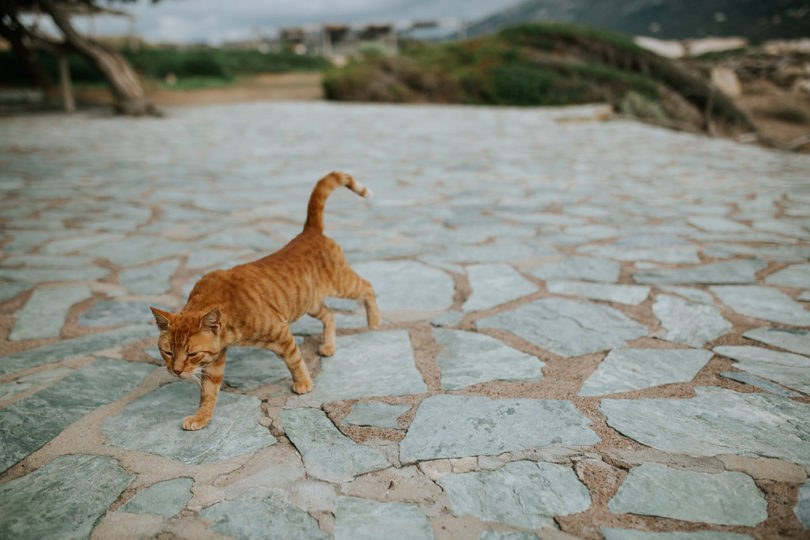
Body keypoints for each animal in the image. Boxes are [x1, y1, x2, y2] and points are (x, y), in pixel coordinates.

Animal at [151, 172, 378, 430]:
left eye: (191, 354)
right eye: (168, 352)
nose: (177, 372)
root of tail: (310, 231)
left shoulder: (281, 333)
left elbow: (295, 360)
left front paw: (304, 384)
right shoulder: (216, 359)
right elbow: (208, 393)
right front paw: (201, 417)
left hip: (342, 284)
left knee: (368, 287)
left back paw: (374, 321)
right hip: (309, 304)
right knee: (330, 314)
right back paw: (329, 346)